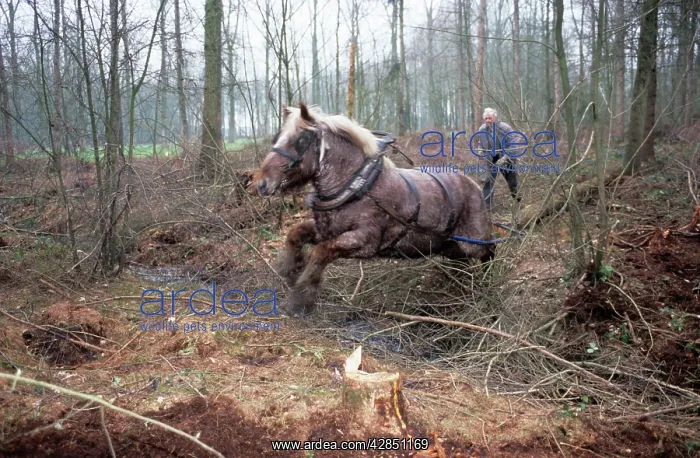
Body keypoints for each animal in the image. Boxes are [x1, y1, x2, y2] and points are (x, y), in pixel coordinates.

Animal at [255, 102, 493, 316]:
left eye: (301, 140)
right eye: (276, 137)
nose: (262, 183)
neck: (355, 186)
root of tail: (474, 186)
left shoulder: (365, 240)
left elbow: (320, 251)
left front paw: (301, 299)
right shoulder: (326, 230)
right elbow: (295, 233)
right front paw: (289, 270)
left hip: (473, 242)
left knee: (489, 252)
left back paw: (489, 282)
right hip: (451, 248)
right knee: (461, 264)